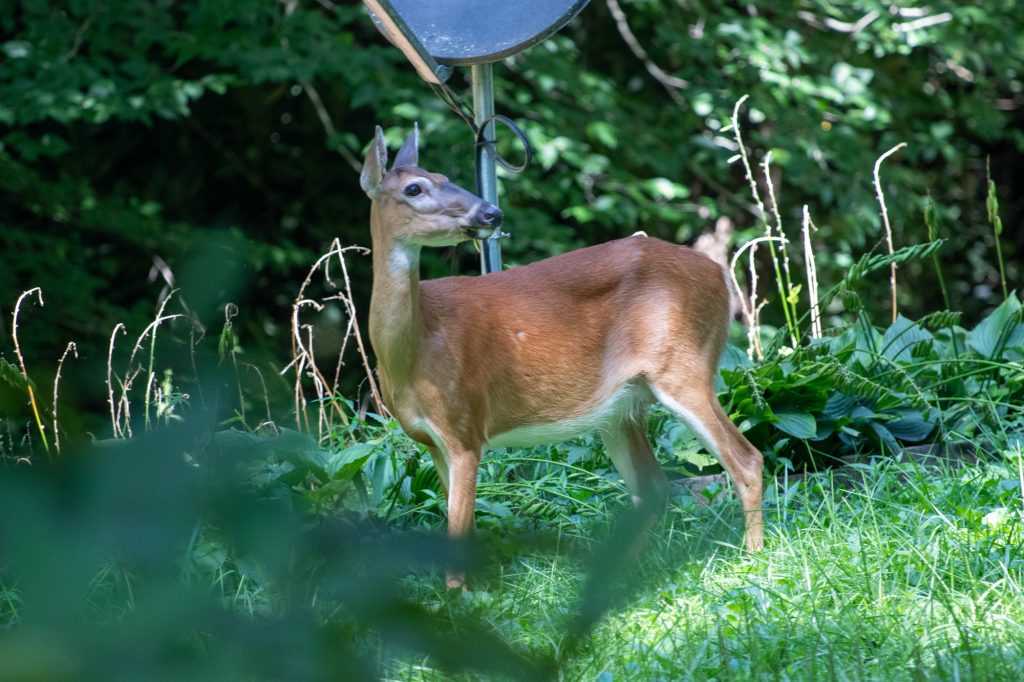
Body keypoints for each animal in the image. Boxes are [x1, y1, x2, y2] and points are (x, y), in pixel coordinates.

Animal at [360, 125, 763, 588]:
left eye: (444, 177)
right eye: (416, 187)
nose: (491, 213)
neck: (416, 350)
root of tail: (721, 275)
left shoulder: (465, 425)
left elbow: (458, 530)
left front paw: (457, 600)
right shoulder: (431, 441)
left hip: (684, 366)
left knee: (746, 460)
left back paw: (753, 558)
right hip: (622, 406)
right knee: (653, 488)